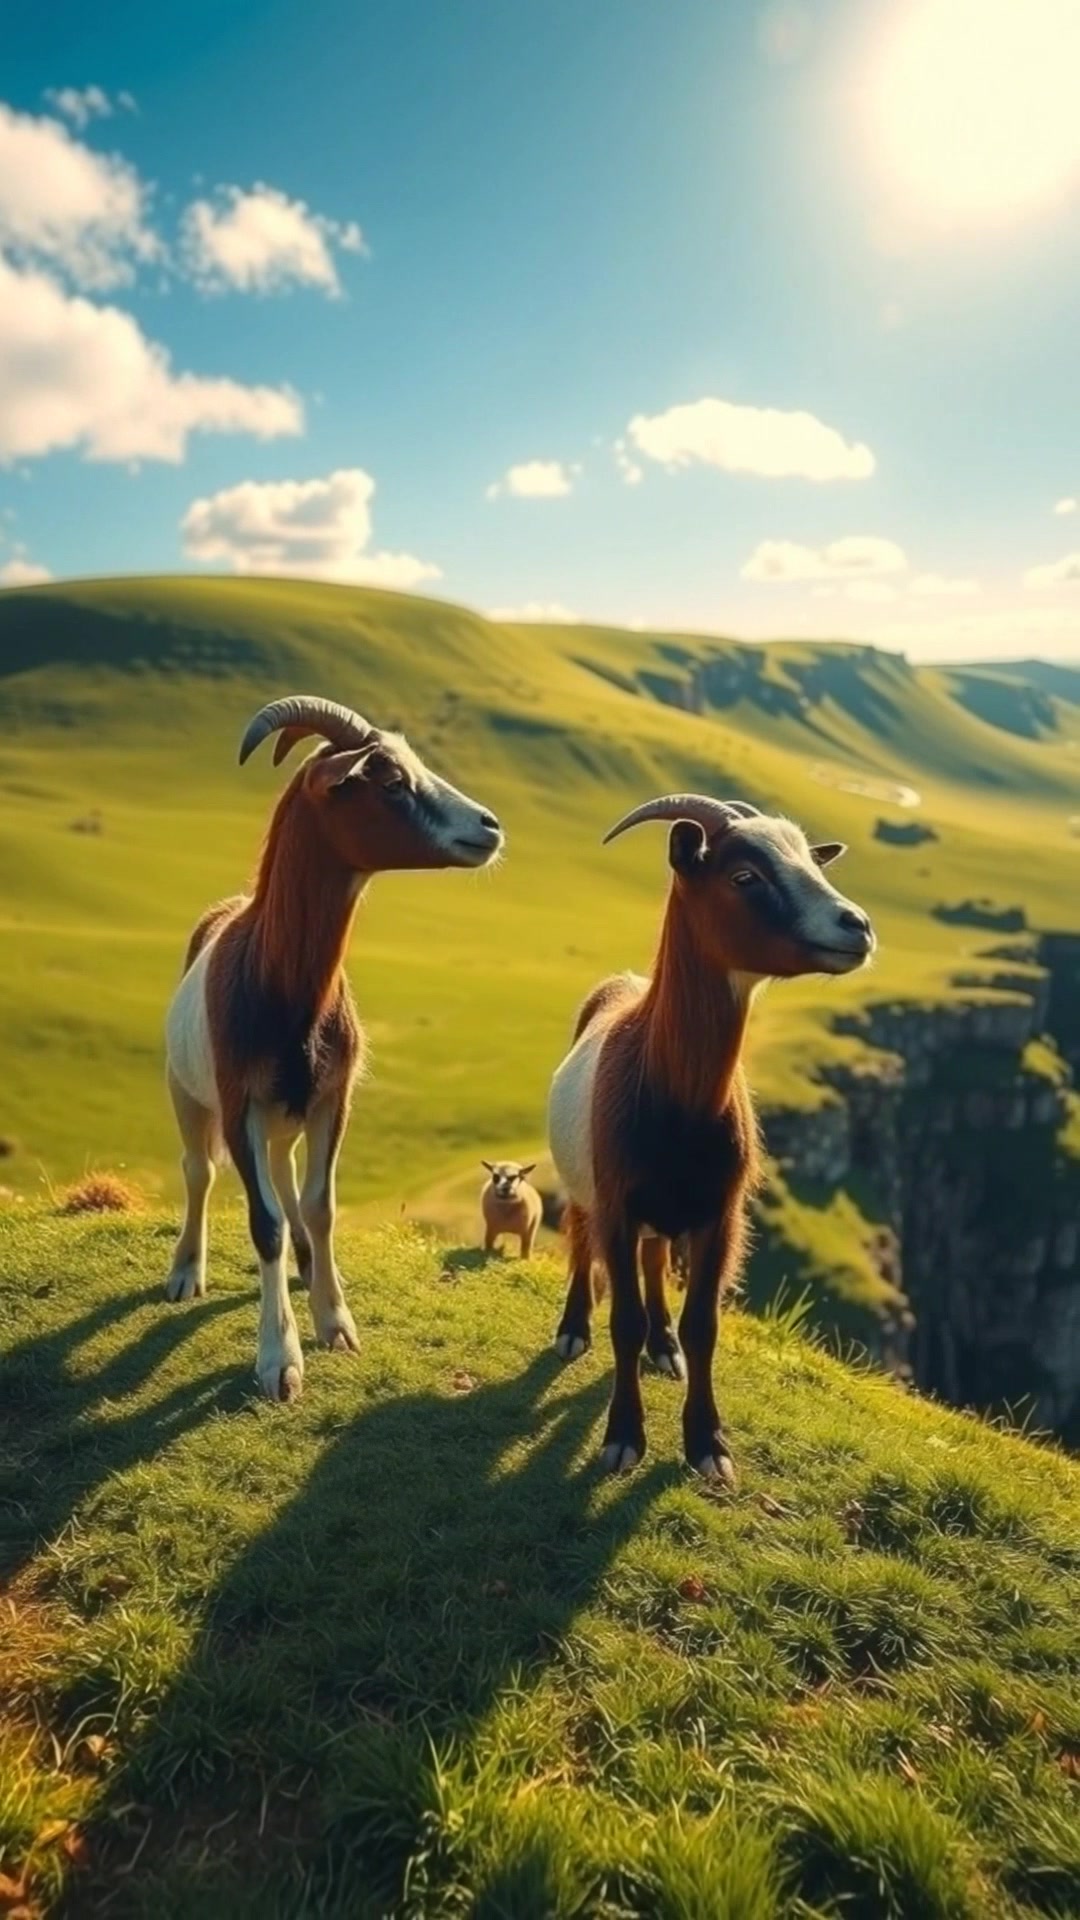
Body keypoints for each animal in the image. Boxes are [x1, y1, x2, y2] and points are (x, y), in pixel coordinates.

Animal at [164, 694, 503, 1402]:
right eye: (388, 779)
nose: (488, 827)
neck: (280, 983)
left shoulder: (332, 1099)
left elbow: (320, 1207)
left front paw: (335, 1320)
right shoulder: (239, 1105)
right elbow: (261, 1222)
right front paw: (279, 1358)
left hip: (283, 1117)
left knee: (285, 1172)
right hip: (188, 1094)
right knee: (199, 1171)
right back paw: (186, 1271)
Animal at [547, 793, 874, 1480]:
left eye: (812, 861)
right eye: (743, 875)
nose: (856, 925)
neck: (679, 1100)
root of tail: (625, 984)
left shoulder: (720, 1213)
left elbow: (704, 1326)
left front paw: (708, 1442)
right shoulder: (618, 1202)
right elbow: (622, 1320)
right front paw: (623, 1436)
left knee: (652, 1262)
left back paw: (663, 1344)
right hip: (589, 1185)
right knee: (582, 1240)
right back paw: (573, 1327)